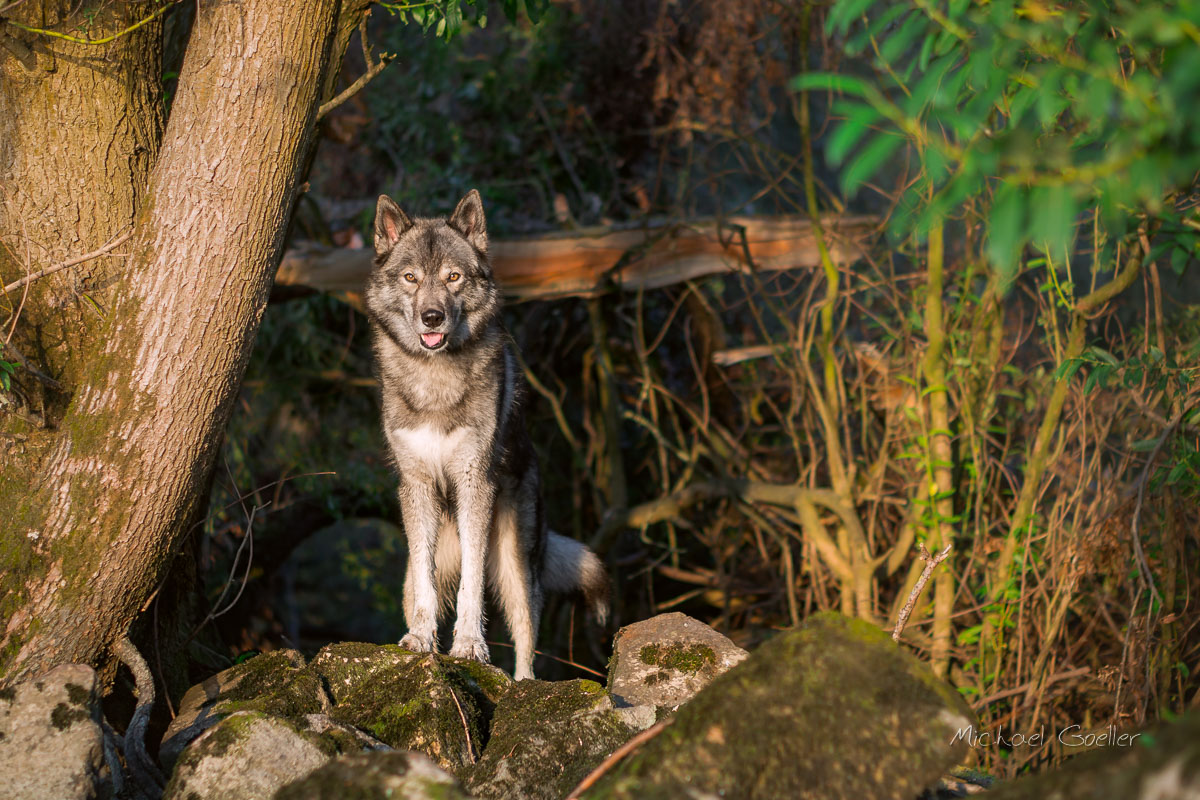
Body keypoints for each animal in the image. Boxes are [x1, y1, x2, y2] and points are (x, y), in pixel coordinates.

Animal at [366, 189, 609, 680]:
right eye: (411, 278)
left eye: (453, 277)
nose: (432, 317)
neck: (434, 379)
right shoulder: (416, 486)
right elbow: (427, 592)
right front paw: (421, 642)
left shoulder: (473, 482)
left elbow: (472, 586)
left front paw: (469, 648)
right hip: (420, 566)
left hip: (516, 565)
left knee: (526, 640)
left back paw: (523, 684)